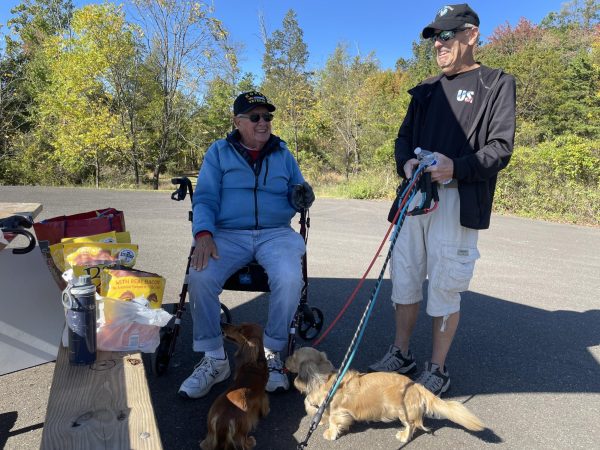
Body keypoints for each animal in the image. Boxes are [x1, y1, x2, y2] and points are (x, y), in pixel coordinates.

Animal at [284, 348, 486, 442]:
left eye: (294, 356)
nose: (284, 358)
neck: (326, 379)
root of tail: (416, 385)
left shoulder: (338, 411)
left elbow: (334, 422)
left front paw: (330, 433)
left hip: (403, 413)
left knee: (412, 426)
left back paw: (403, 436)